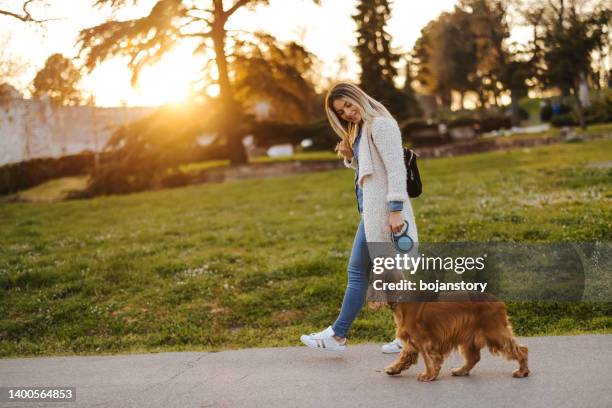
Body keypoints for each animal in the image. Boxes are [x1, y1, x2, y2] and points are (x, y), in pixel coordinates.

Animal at [384, 298, 528, 380]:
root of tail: (499, 301)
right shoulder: (412, 340)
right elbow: (404, 356)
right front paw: (393, 369)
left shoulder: (423, 339)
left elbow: (428, 359)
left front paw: (428, 375)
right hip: (470, 337)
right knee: (474, 358)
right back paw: (460, 370)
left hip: (494, 332)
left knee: (521, 349)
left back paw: (522, 372)